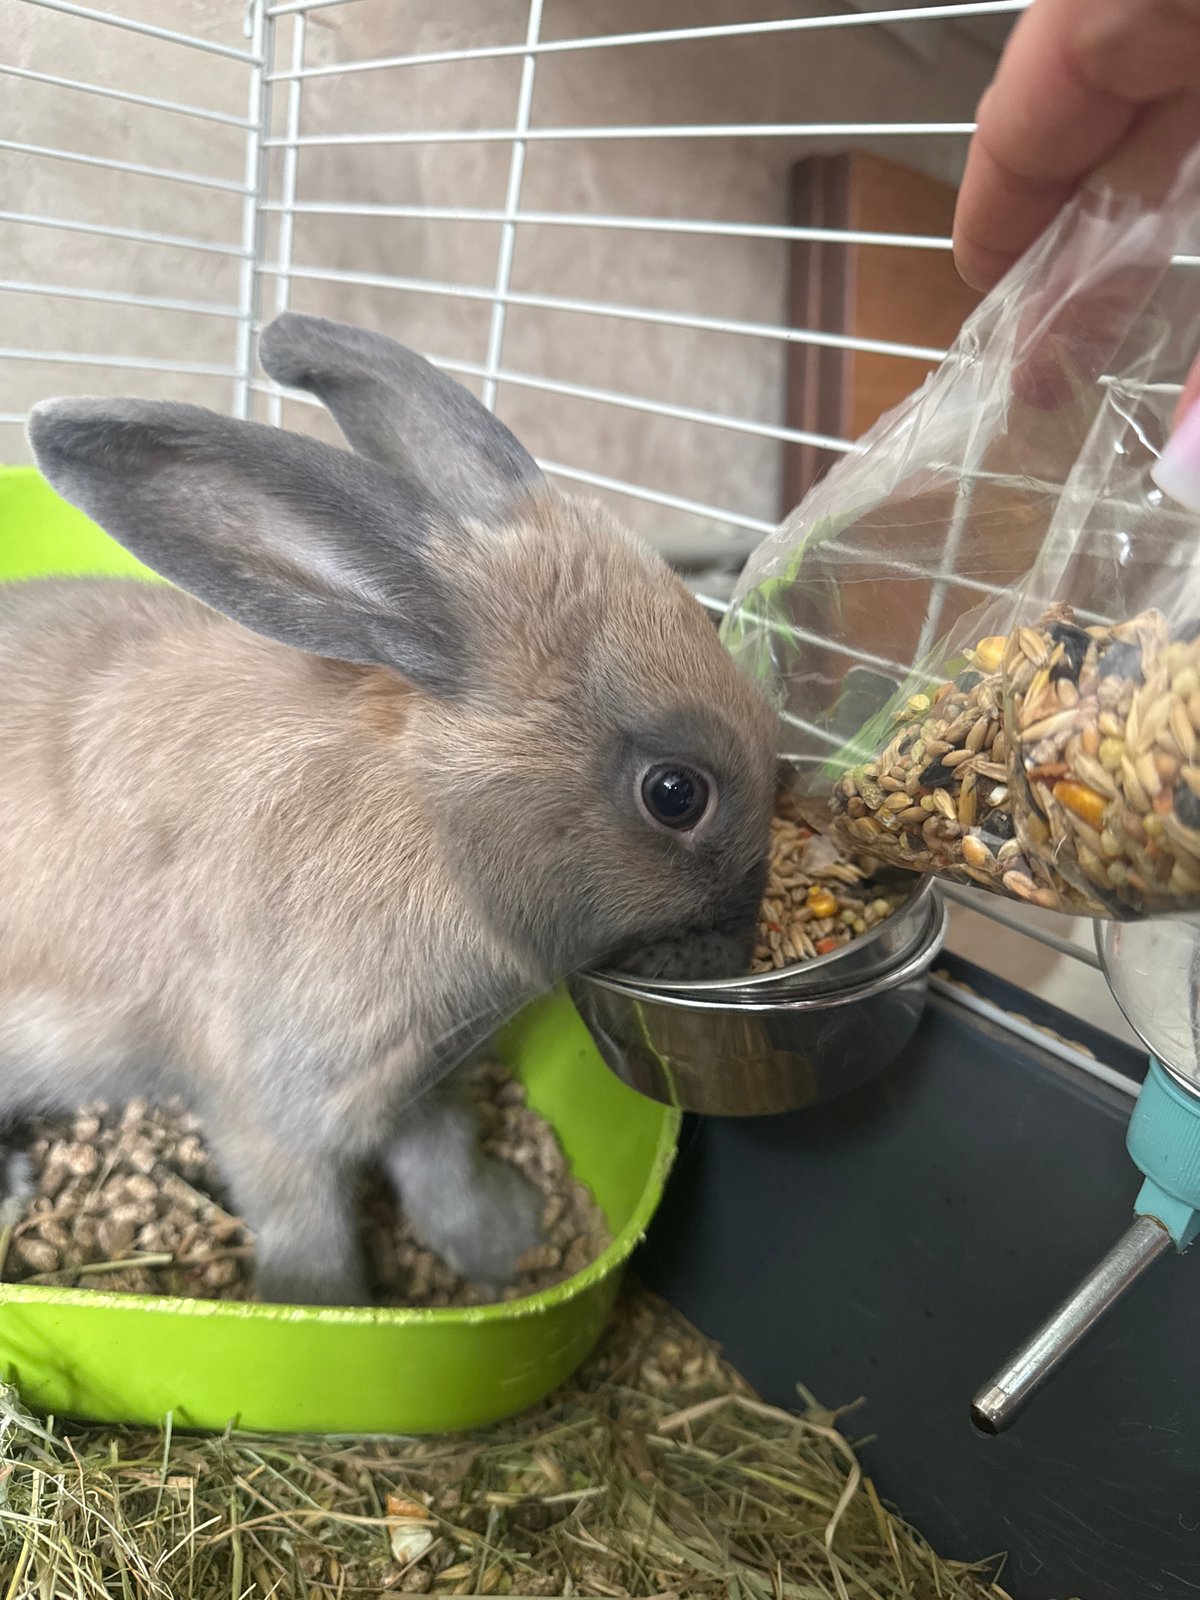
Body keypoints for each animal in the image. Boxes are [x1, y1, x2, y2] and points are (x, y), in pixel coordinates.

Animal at [0, 312, 779, 1308]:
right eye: (676, 794)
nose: (736, 952)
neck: (433, 827)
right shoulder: (276, 1113)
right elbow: (312, 1231)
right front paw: (322, 1311)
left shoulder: (421, 1084)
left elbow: (441, 1164)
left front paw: (508, 1240)